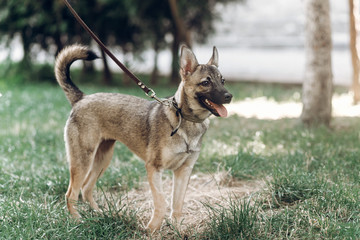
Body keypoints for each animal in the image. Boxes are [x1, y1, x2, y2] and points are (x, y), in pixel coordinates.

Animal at [54, 44, 232, 232]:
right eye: (206, 82)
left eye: (223, 81)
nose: (229, 96)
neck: (185, 120)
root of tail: (82, 98)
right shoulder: (154, 168)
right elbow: (161, 202)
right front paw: (152, 229)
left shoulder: (183, 171)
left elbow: (177, 204)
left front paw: (177, 229)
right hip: (83, 161)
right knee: (71, 194)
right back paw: (77, 221)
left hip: (102, 159)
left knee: (86, 188)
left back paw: (98, 215)